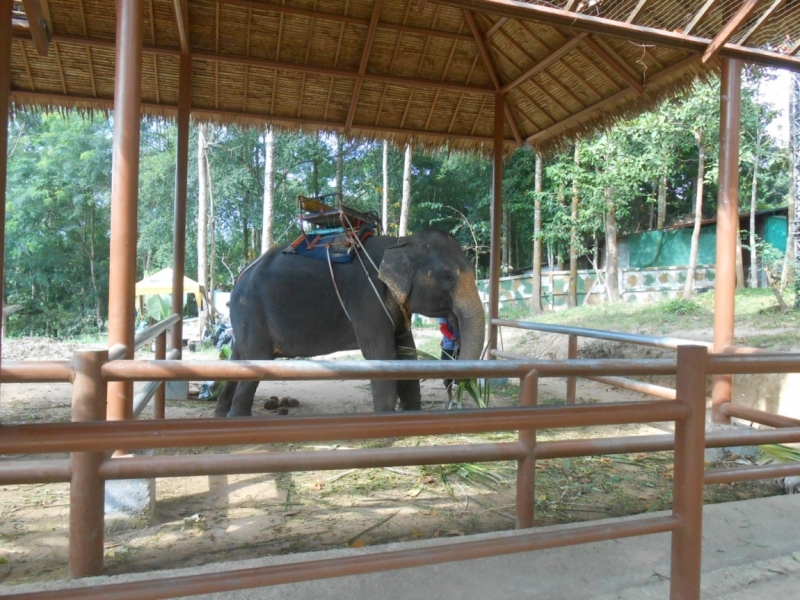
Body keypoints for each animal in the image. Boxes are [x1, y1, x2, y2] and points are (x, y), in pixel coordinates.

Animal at [212, 230, 484, 418]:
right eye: (447, 277)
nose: (455, 391)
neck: (400, 241)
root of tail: (240, 276)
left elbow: (406, 351)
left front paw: (412, 415)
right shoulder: (366, 298)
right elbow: (380, 354)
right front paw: (385, 419)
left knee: (238, 355)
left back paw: (221, 415)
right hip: (251, 309)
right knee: (256, 357)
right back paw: (238, 419)